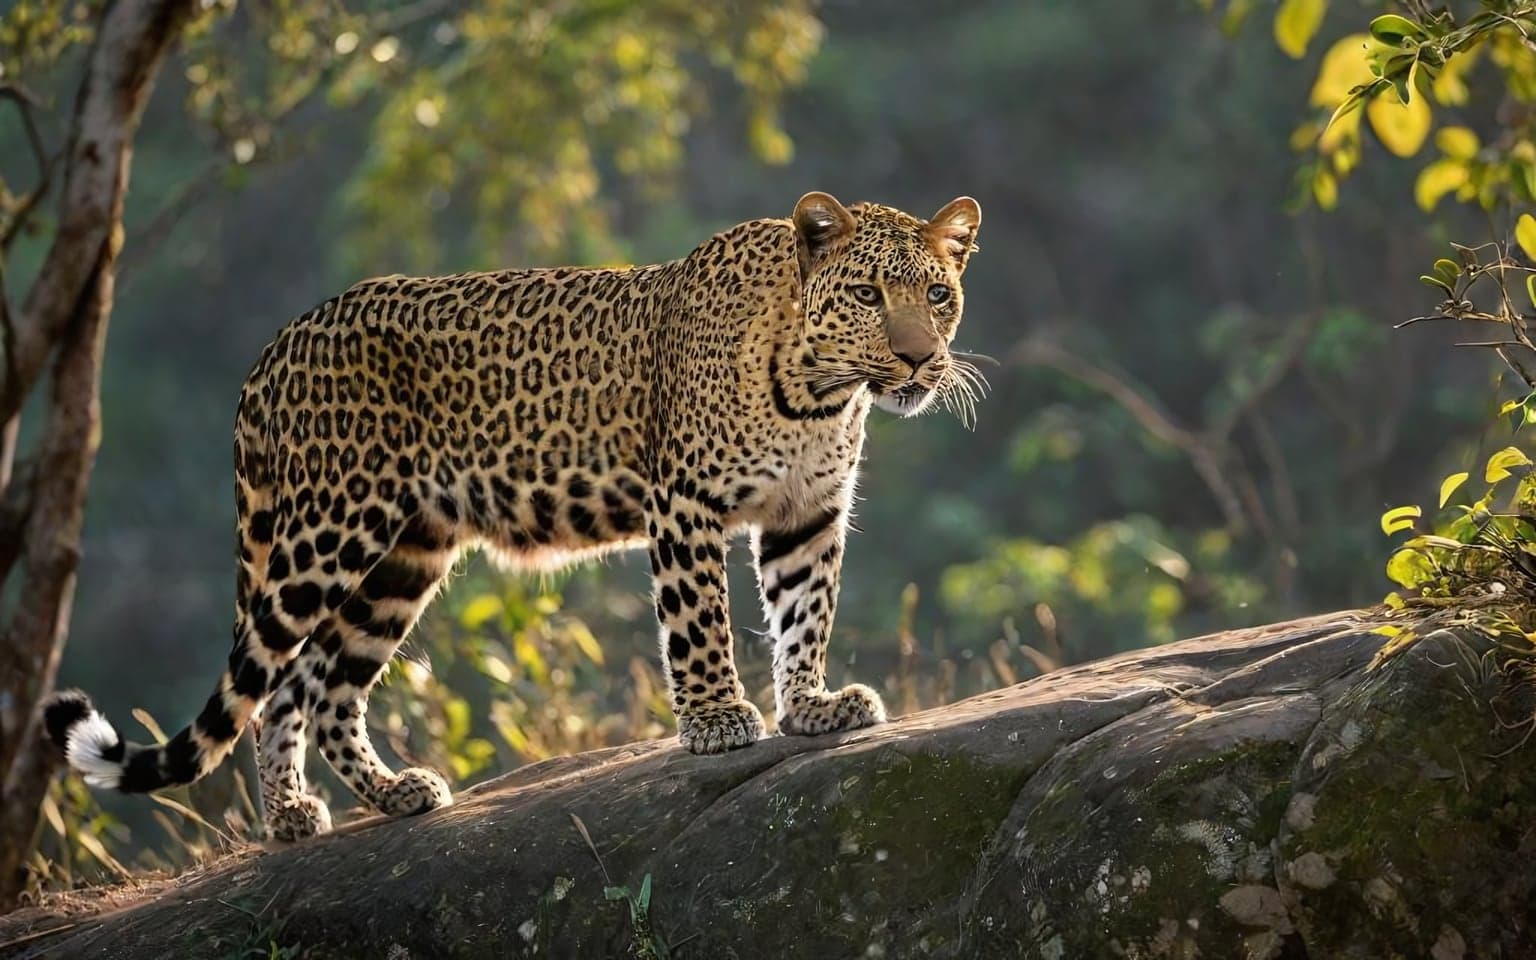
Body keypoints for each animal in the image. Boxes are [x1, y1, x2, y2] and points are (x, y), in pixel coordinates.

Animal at [42, 191, 984, 842]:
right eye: (867, 294)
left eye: (938, 296)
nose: (918, 359)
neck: (818, 393)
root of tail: (270, 352)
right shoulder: (686, 505)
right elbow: (700, 623)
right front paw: (718, 721)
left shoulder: (808, 513)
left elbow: (804, 613)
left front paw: (813, 705)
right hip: (324, 535)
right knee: (274, 672)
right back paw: (289, 819)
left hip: (402, 555)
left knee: (320, 682)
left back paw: (377, 798)